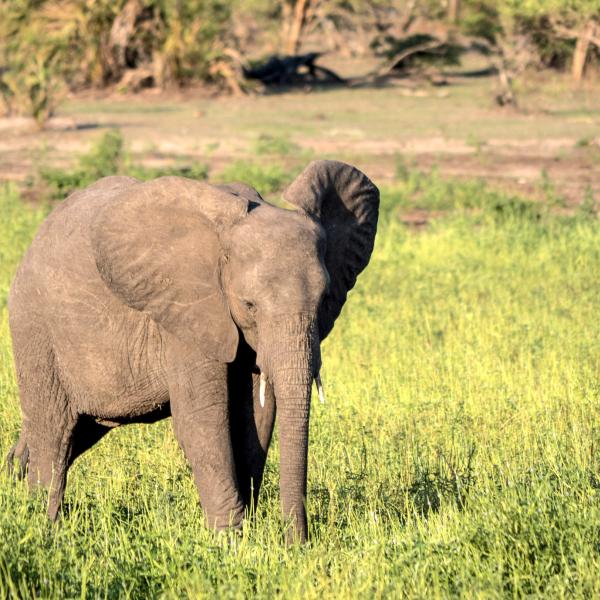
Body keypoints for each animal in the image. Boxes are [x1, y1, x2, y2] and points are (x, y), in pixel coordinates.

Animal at [4, 159, 378, 544]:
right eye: (250, 304)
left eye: (324, 300)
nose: (298, 544)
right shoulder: (187, 308)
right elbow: (203, 419)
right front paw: (231, 542)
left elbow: (256, 418)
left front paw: (252, 536)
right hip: (35, 328)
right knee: (55, 432)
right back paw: (44, 528)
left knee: (76, 430)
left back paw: (15, 487)